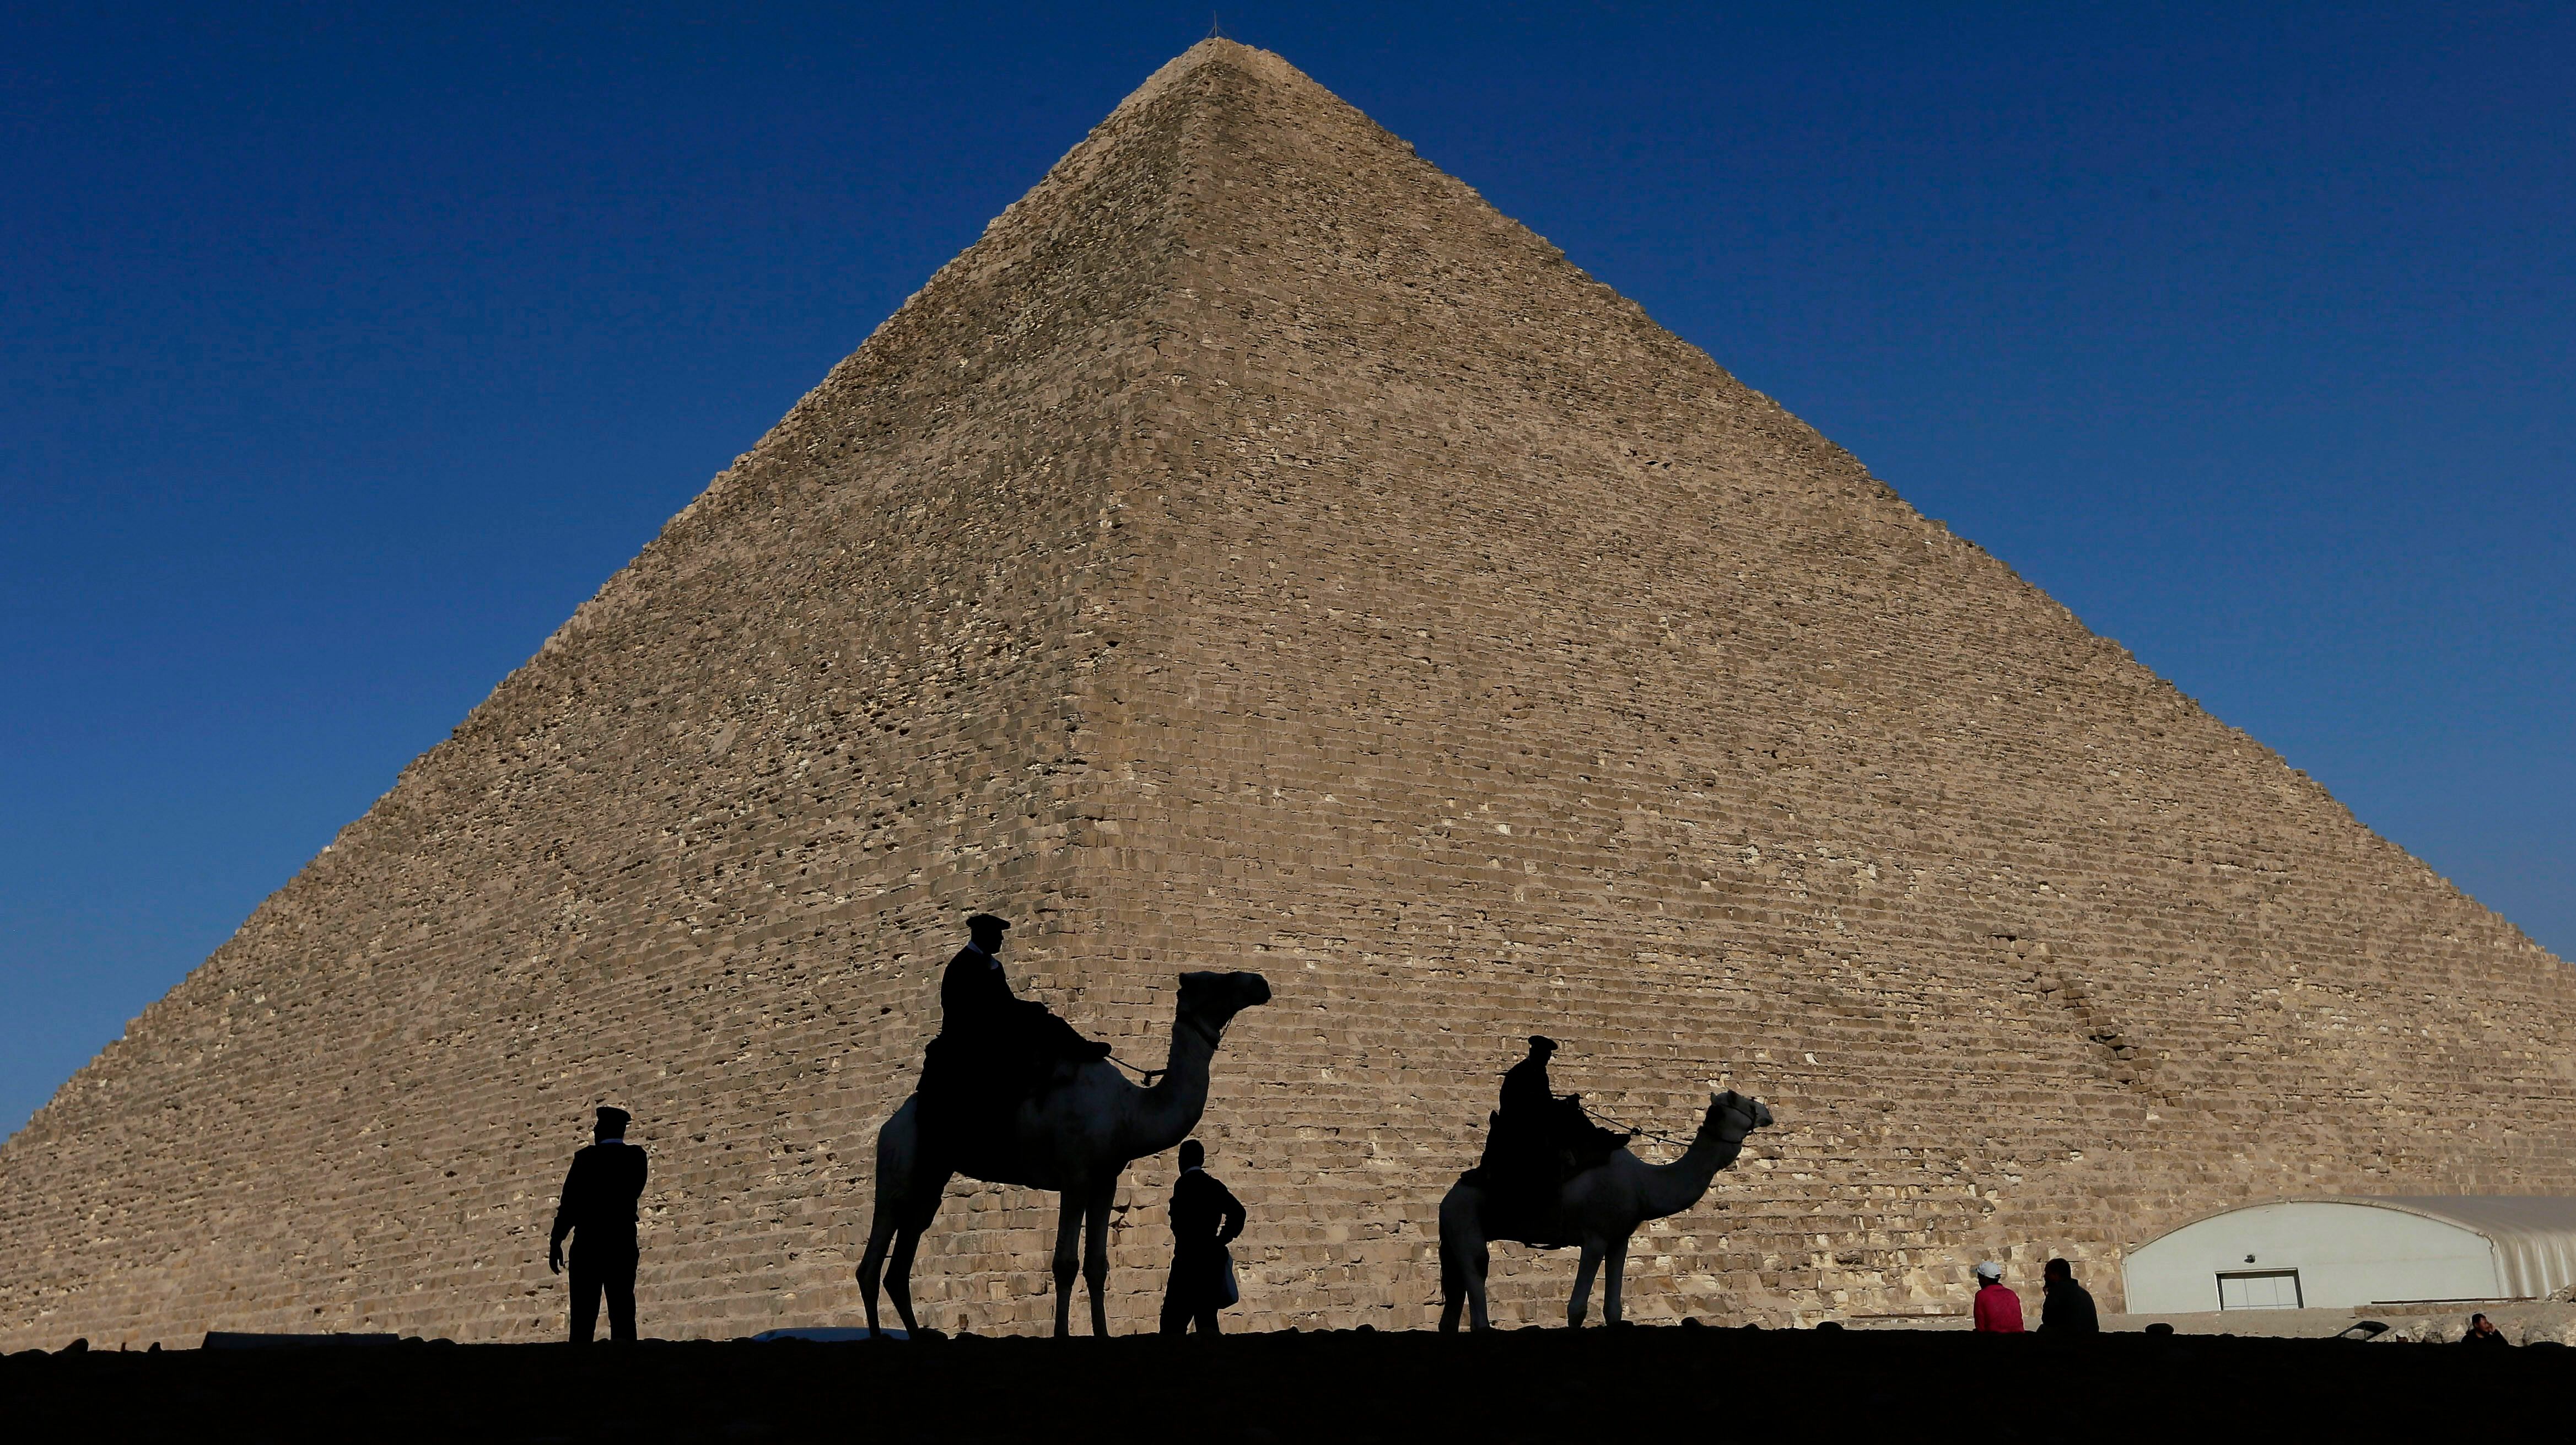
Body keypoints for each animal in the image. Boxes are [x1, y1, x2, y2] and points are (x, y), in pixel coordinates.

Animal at [860, 973, 1272, 1339]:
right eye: (1213, 981)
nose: (1260, 983)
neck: (1129, 1111)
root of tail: (891, 1123)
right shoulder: (1075, 1178)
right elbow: (1065, 1264)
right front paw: (1062, 1334)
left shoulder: (1106, 1182)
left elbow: (1097, 1265)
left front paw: (1102, 1334)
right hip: (900, 1162)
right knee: (873, 1257)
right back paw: (880, 1337)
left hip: (932, 1177)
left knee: (903, 1255)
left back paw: (917, 1335)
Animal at [1432, 1087, 1772, 1329]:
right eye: (1744, 1102)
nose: (1768, 1113)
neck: (1643, 1184)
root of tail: (1445, 1201)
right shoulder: (1594, 1237)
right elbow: (1577, 1308)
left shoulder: (1619, 1239)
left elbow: (1614, 1309)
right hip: (1464, 1220)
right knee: (1478, 1281)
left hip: (1453, 1237)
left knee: (1451, 1310)